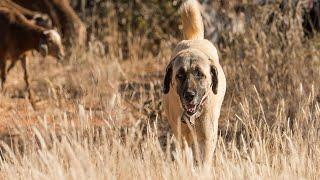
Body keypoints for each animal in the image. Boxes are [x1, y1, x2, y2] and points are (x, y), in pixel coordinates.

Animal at [164, 0, 226, 165]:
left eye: (200, 74)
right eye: (180, 75)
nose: (189, 95)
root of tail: (194, 39)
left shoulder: (207, 139)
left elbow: (204, 163)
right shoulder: (182, 138)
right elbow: (186, 159)